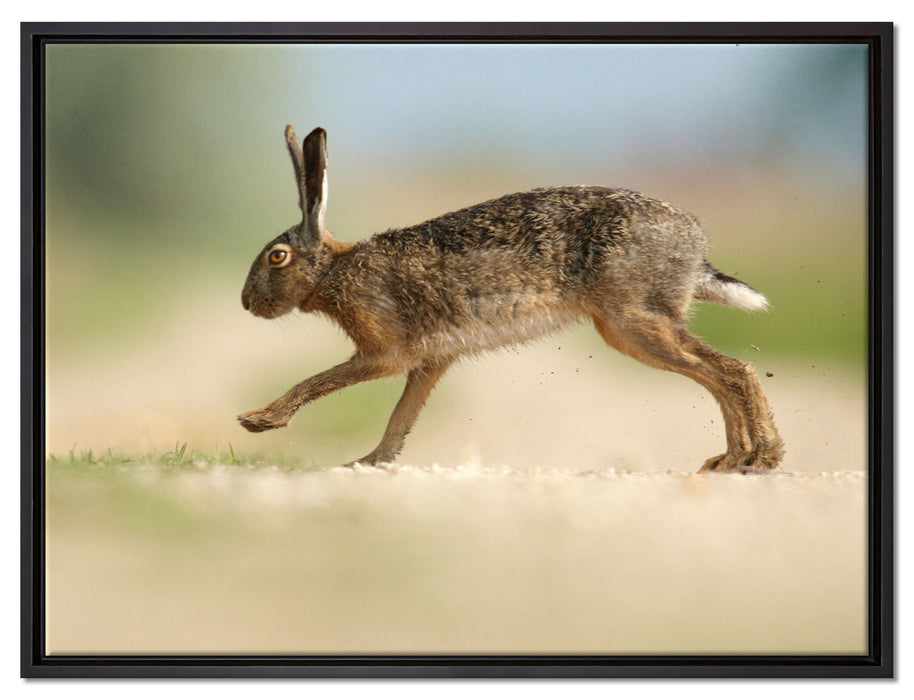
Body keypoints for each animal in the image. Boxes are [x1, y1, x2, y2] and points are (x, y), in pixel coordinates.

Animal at [239, 125, 784, 473]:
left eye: (277, 257)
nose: (246, 304)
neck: (334, 271)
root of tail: (695, 245)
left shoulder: (385, 352)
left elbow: (321, 380)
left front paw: (259, 421)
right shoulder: (431, 361)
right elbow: (401, 416)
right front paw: (369, 462)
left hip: (632, 321)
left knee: (733, 371)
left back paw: (759, 458)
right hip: (638, 326)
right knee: (717, 376)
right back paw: (729, 460)